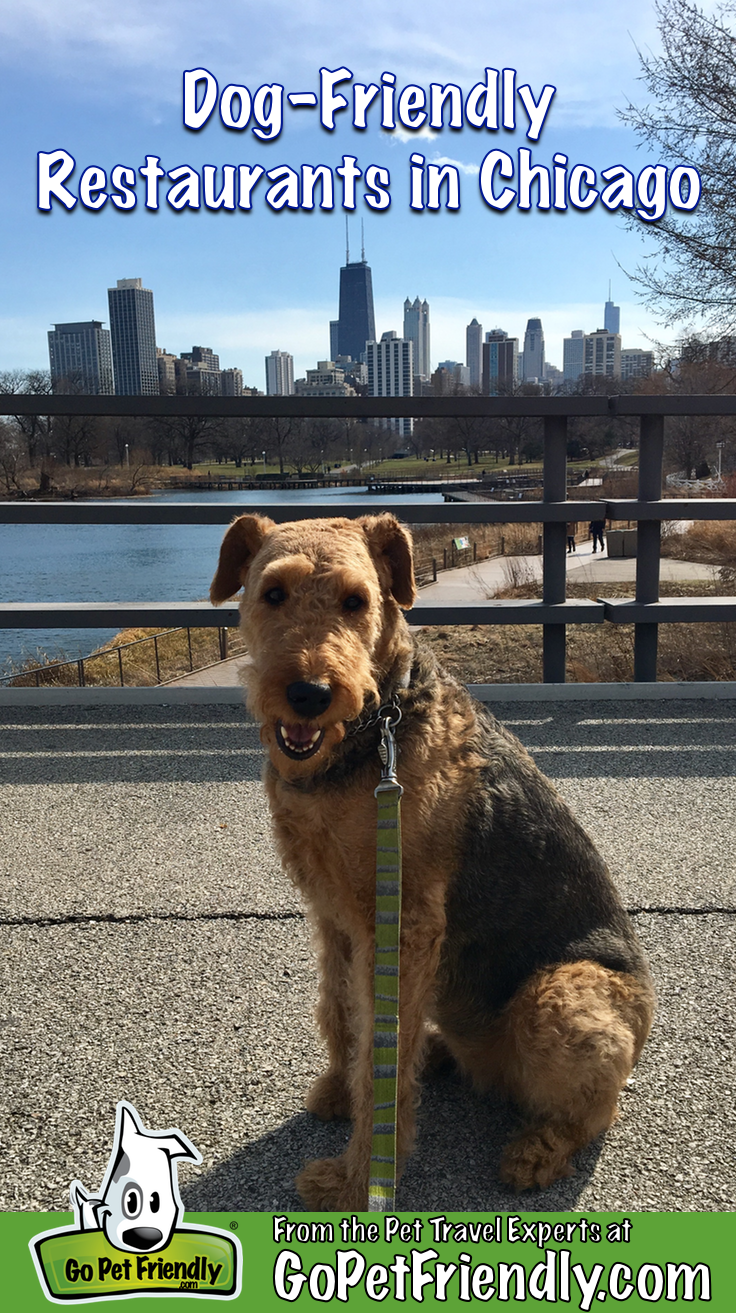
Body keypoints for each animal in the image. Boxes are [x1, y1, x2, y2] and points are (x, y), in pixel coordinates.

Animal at [209, 509, 650, 1207]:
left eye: (356, 601)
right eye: (273, 592)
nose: (309, 694)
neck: (377, 726)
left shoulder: (404, 922)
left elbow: (380, 1059)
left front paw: (355, 1182)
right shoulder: (333, 913)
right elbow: (342, 1013)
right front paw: (337, 1092)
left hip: (557, 996)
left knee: (593, 1109)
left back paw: (534, 1153)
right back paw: (444, 1057)